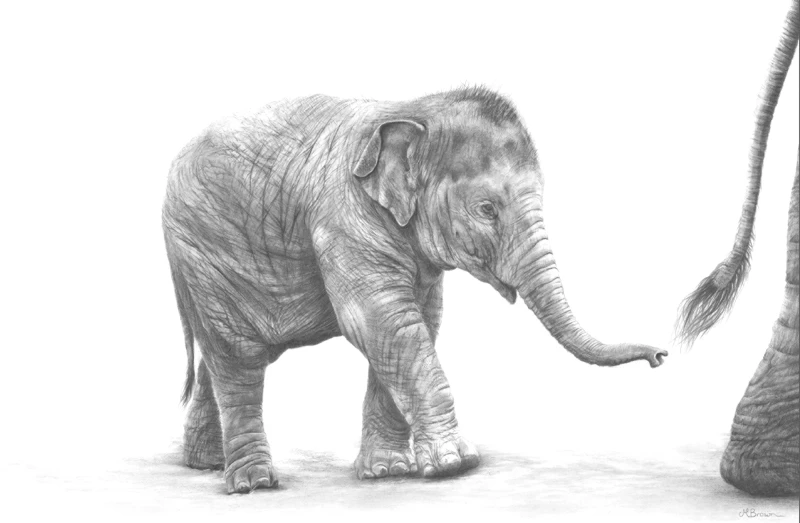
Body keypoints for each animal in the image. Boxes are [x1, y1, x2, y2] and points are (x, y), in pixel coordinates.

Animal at [162, 86, 667, 494]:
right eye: (487, 209)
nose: (661, 355)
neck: (415, 109)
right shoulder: (344, 215)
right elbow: (383, 320)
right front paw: (456, 464)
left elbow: (414, 323)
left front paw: (388, 472)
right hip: (201, 249)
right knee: (240, 354)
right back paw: (254, 484)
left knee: (223, 355)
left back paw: (206, 465)